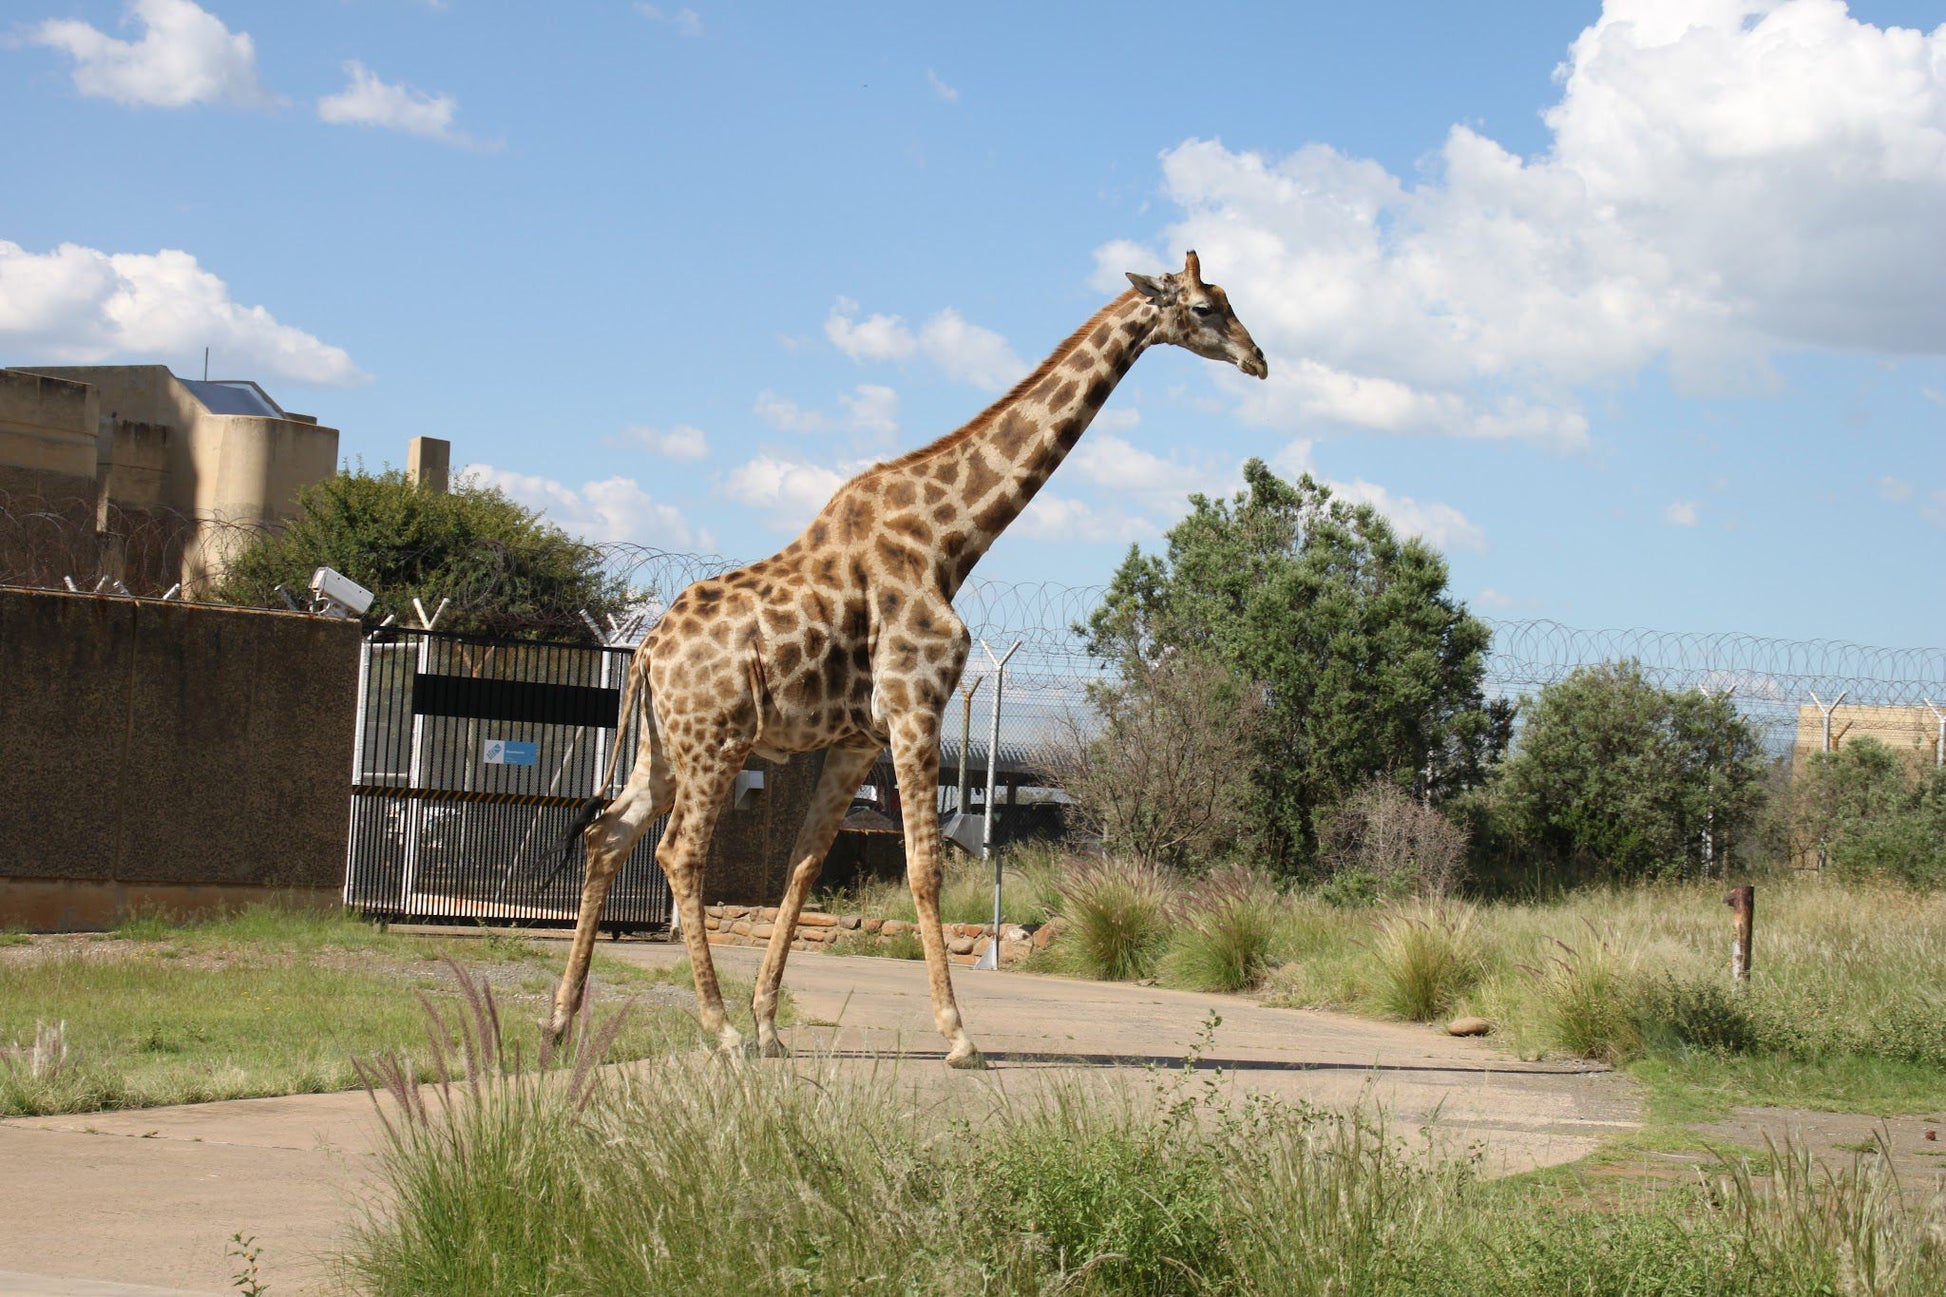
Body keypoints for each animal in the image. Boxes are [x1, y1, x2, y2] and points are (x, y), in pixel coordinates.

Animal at [552, 249, 1261, 1059]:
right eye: (1206, 307)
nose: (1259, 360)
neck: (949, 542)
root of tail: (643, 651)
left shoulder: (859, 739)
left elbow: (804, 865)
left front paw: (770, 1023)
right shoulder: (916, 703)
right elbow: (924, 865)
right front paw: (958, 1034)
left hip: (664, 746)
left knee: (608, 835)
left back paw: (563, 1019)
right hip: (715, 739)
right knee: (678, 852)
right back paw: (718, 1028)